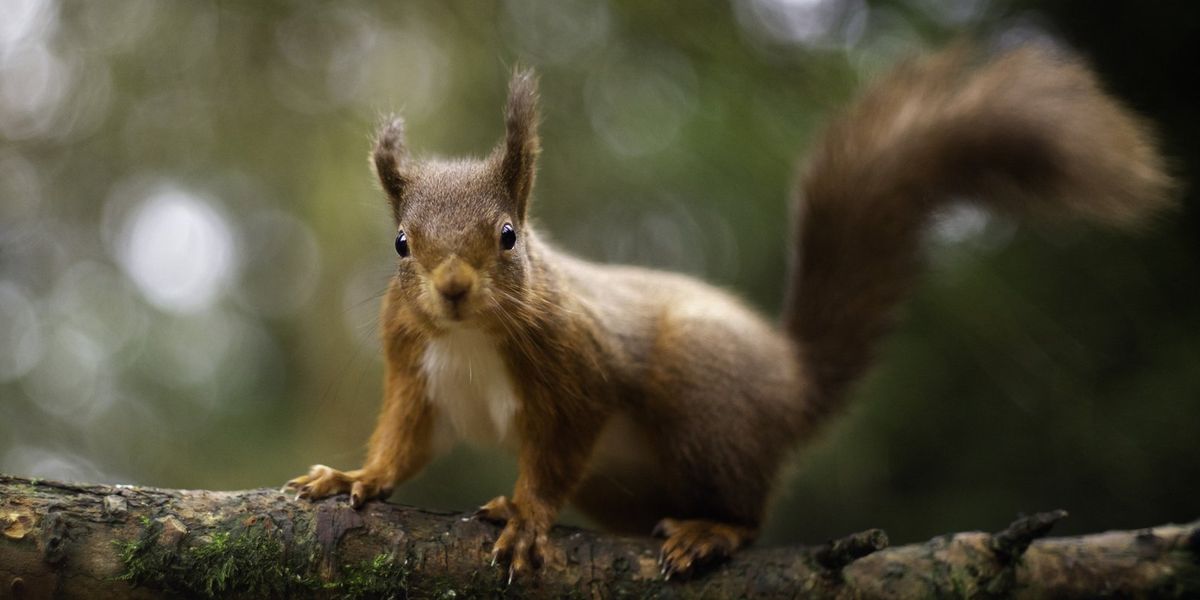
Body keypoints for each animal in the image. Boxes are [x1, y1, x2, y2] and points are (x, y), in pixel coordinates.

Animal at [285, 44, 1173, 579]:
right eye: (401, 244)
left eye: (508, 235)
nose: (453, 289)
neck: (470, 336)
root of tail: (794, 385)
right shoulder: (415, 368)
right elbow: (406, 440)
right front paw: (354, 477)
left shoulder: (580, 367)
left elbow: (561, 444)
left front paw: (531, 513)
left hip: (703, 394)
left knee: (748, 510)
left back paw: (712, 532)